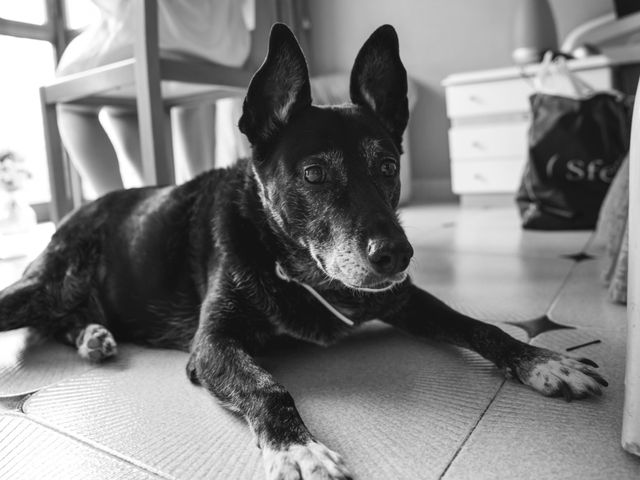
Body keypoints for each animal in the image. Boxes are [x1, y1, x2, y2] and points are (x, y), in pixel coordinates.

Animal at [0, 24, 608, 478]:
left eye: (388, 167)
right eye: (315, 174)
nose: (397, 255)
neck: (299, 269)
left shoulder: (405, 299)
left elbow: (480, 327)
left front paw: (543, 361)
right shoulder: (213, 346)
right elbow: (269, 389)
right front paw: (297, 448)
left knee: (63, 322)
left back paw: (93, 337)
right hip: (46, 284)